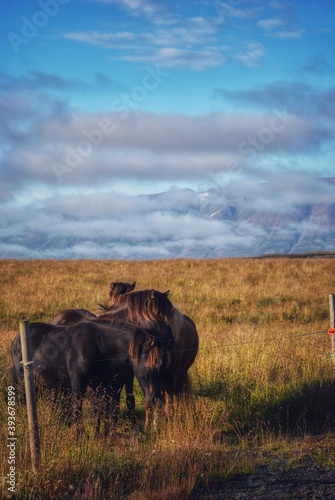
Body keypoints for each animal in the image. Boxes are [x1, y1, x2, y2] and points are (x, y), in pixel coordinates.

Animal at [10, 320, 173, 434]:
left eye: (161, 366)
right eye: (150, 366)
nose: (155, 398)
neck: (99, 346)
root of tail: (16, 340)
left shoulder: (102, 386)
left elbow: (103, 412)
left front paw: (102, 437)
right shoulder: (79, 385)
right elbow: (79, 410)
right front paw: (80, 437)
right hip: (22, 384)